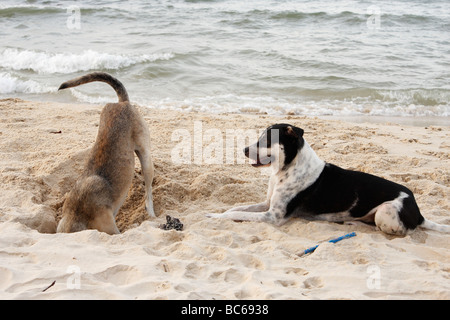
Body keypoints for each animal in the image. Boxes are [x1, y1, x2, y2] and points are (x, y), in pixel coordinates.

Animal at [207, 122, 446, 235]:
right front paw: (217, 212)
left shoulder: (273, 216)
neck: (287, 168)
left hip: (387, 212)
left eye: (267, 140)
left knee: (395, 229)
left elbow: (236, 214)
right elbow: (237, 208)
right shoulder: (267, 204)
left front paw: (216, 217)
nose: (244, 150)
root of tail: (418, 213)